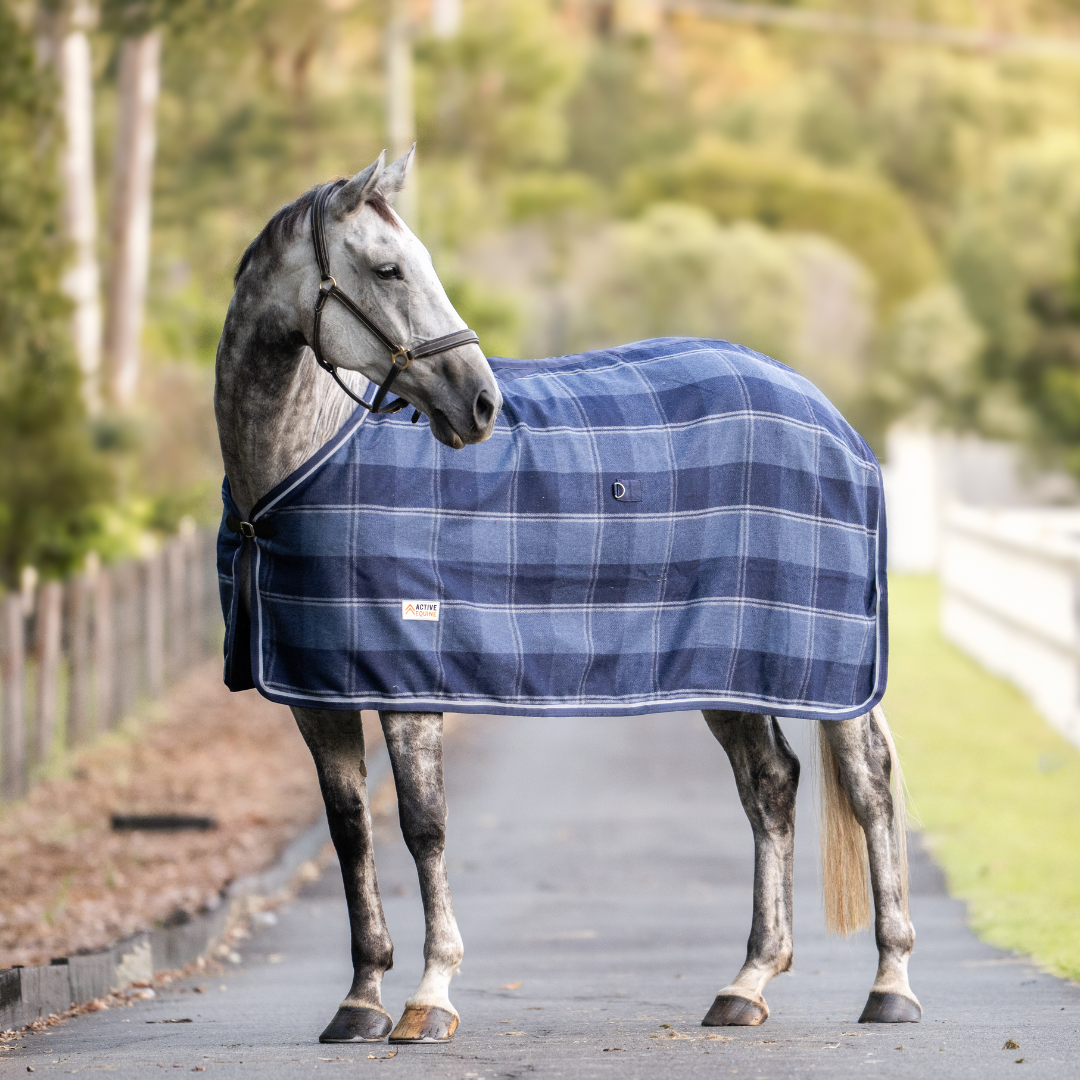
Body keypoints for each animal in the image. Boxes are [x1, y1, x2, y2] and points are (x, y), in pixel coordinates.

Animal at [213, 149, 920, 1045]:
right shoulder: (316, 689)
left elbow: (423, 825)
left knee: (869, 786)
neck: (309, 460)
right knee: (771, 786)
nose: (480, 403)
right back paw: (747, 984)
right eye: (387, 267)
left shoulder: (410, 675)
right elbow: (349, 831)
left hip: (830, 671)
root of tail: (833, 417)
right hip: (726, 667)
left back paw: (891, 983)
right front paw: (360, 999)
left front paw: (429, 995)